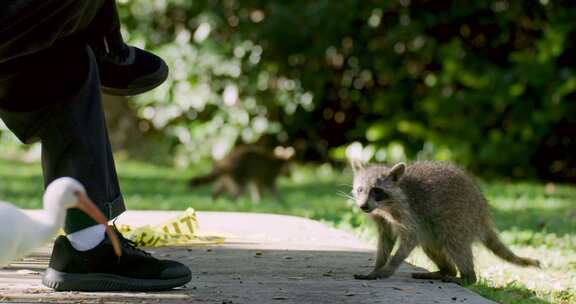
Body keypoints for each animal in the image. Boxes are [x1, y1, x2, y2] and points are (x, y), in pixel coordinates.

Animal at [352, 162, 540, 284]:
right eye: (360, 189)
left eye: (377, 190)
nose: (363, 206)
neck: (384, 207)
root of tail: (483, 212)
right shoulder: (383, 219)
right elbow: (386, 240)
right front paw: (376, 268)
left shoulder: (409, 212)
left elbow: (410, 239)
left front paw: (388, 268)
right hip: (436, 230)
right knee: (431, 247)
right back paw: (446, 271)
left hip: (462, 218)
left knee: (456, 245)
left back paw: (467, 277)